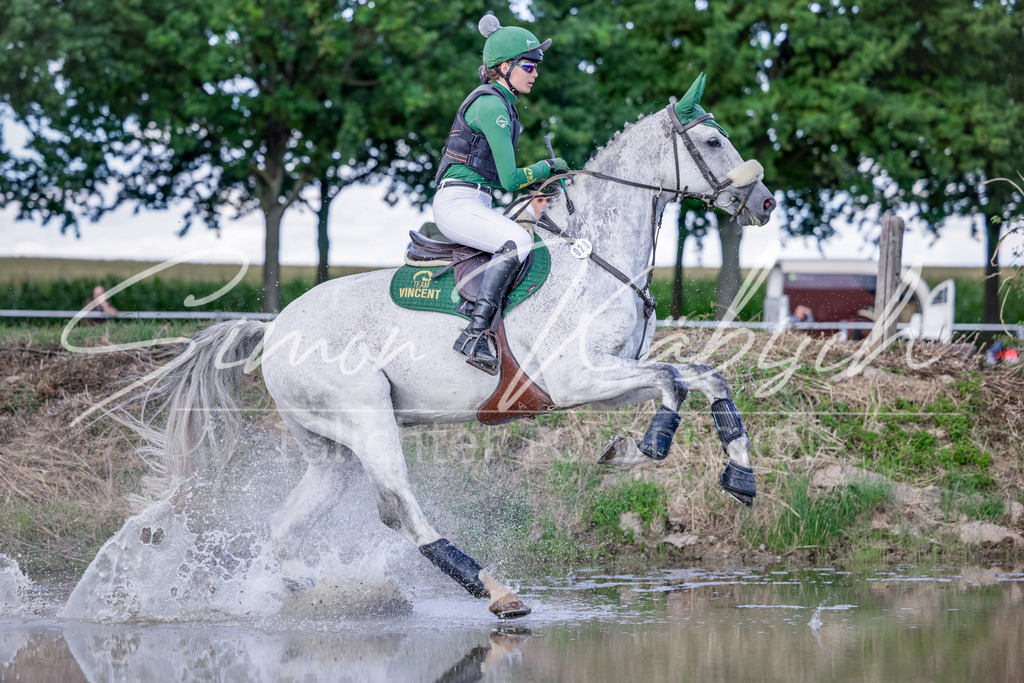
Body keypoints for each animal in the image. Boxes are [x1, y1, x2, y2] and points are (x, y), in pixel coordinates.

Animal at [117, 74, 775, 620]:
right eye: (713, 141)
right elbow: (671, 382)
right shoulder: (578, 379)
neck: (594, 256)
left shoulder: (606, 378)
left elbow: (703, 376)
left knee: (287, 525)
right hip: (367, 418)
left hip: (330, 450)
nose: (765, 203)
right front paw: (645, 447)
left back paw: (309, 595)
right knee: (398, 508)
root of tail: (277, 326)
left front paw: (736, 477)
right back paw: (496, 592)